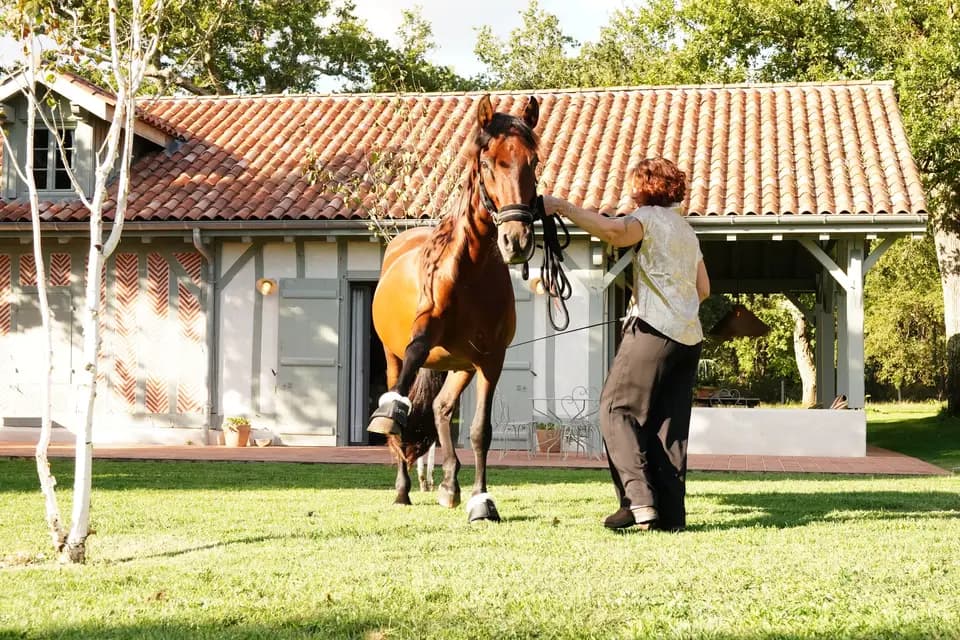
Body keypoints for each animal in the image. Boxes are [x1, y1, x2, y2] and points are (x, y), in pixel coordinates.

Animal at [367, 94, 541, 522]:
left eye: (534, 162)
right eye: (488, 162)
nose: (516, 240)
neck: (470, 271)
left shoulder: (490, 359)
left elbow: (480, 431)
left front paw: (482, 500)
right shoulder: (423, 335)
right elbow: (413, 364)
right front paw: (389, 413)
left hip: (462, 363)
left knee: (443, 407)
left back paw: (449, 485)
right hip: (393, 354)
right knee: (408, 395)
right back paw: (403, 488)